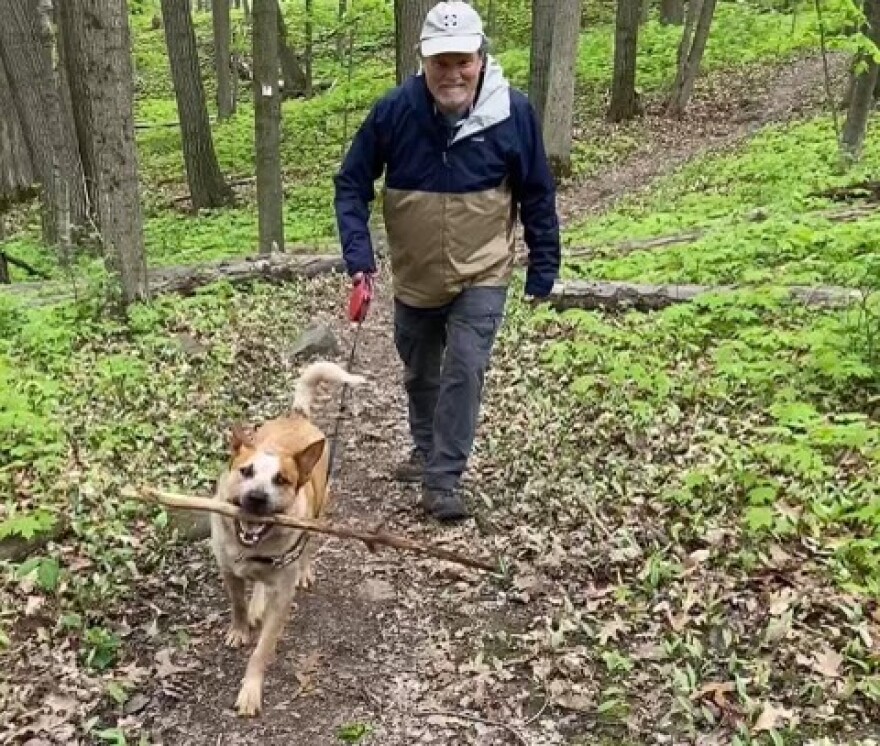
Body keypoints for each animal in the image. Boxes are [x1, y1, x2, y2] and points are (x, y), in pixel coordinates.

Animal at [210, 360, 364, 716]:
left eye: (282, 480)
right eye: (246, 471)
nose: (256, 498)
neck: (252, 548)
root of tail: (298, 416)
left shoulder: (282, 596)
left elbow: (262, 650)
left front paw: (251, 690)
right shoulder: (229, 570)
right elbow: (238, 603)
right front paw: (240, 627)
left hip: (318, 512)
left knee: (307, 549)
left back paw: (303, 572)